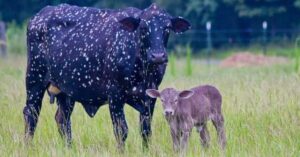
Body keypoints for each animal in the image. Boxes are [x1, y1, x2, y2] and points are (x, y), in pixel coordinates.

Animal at [24, 3, 191, 149]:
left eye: (167, 28)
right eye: (143, 27)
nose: (158, 56)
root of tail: (39, 16)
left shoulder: (150, 97)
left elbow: (145, 130)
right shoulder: (115, 95)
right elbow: (121, 130)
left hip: (66, 92)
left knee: (62, 120)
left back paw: (69, 148)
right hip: (34, 80)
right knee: (31, 114)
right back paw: (28, 147)